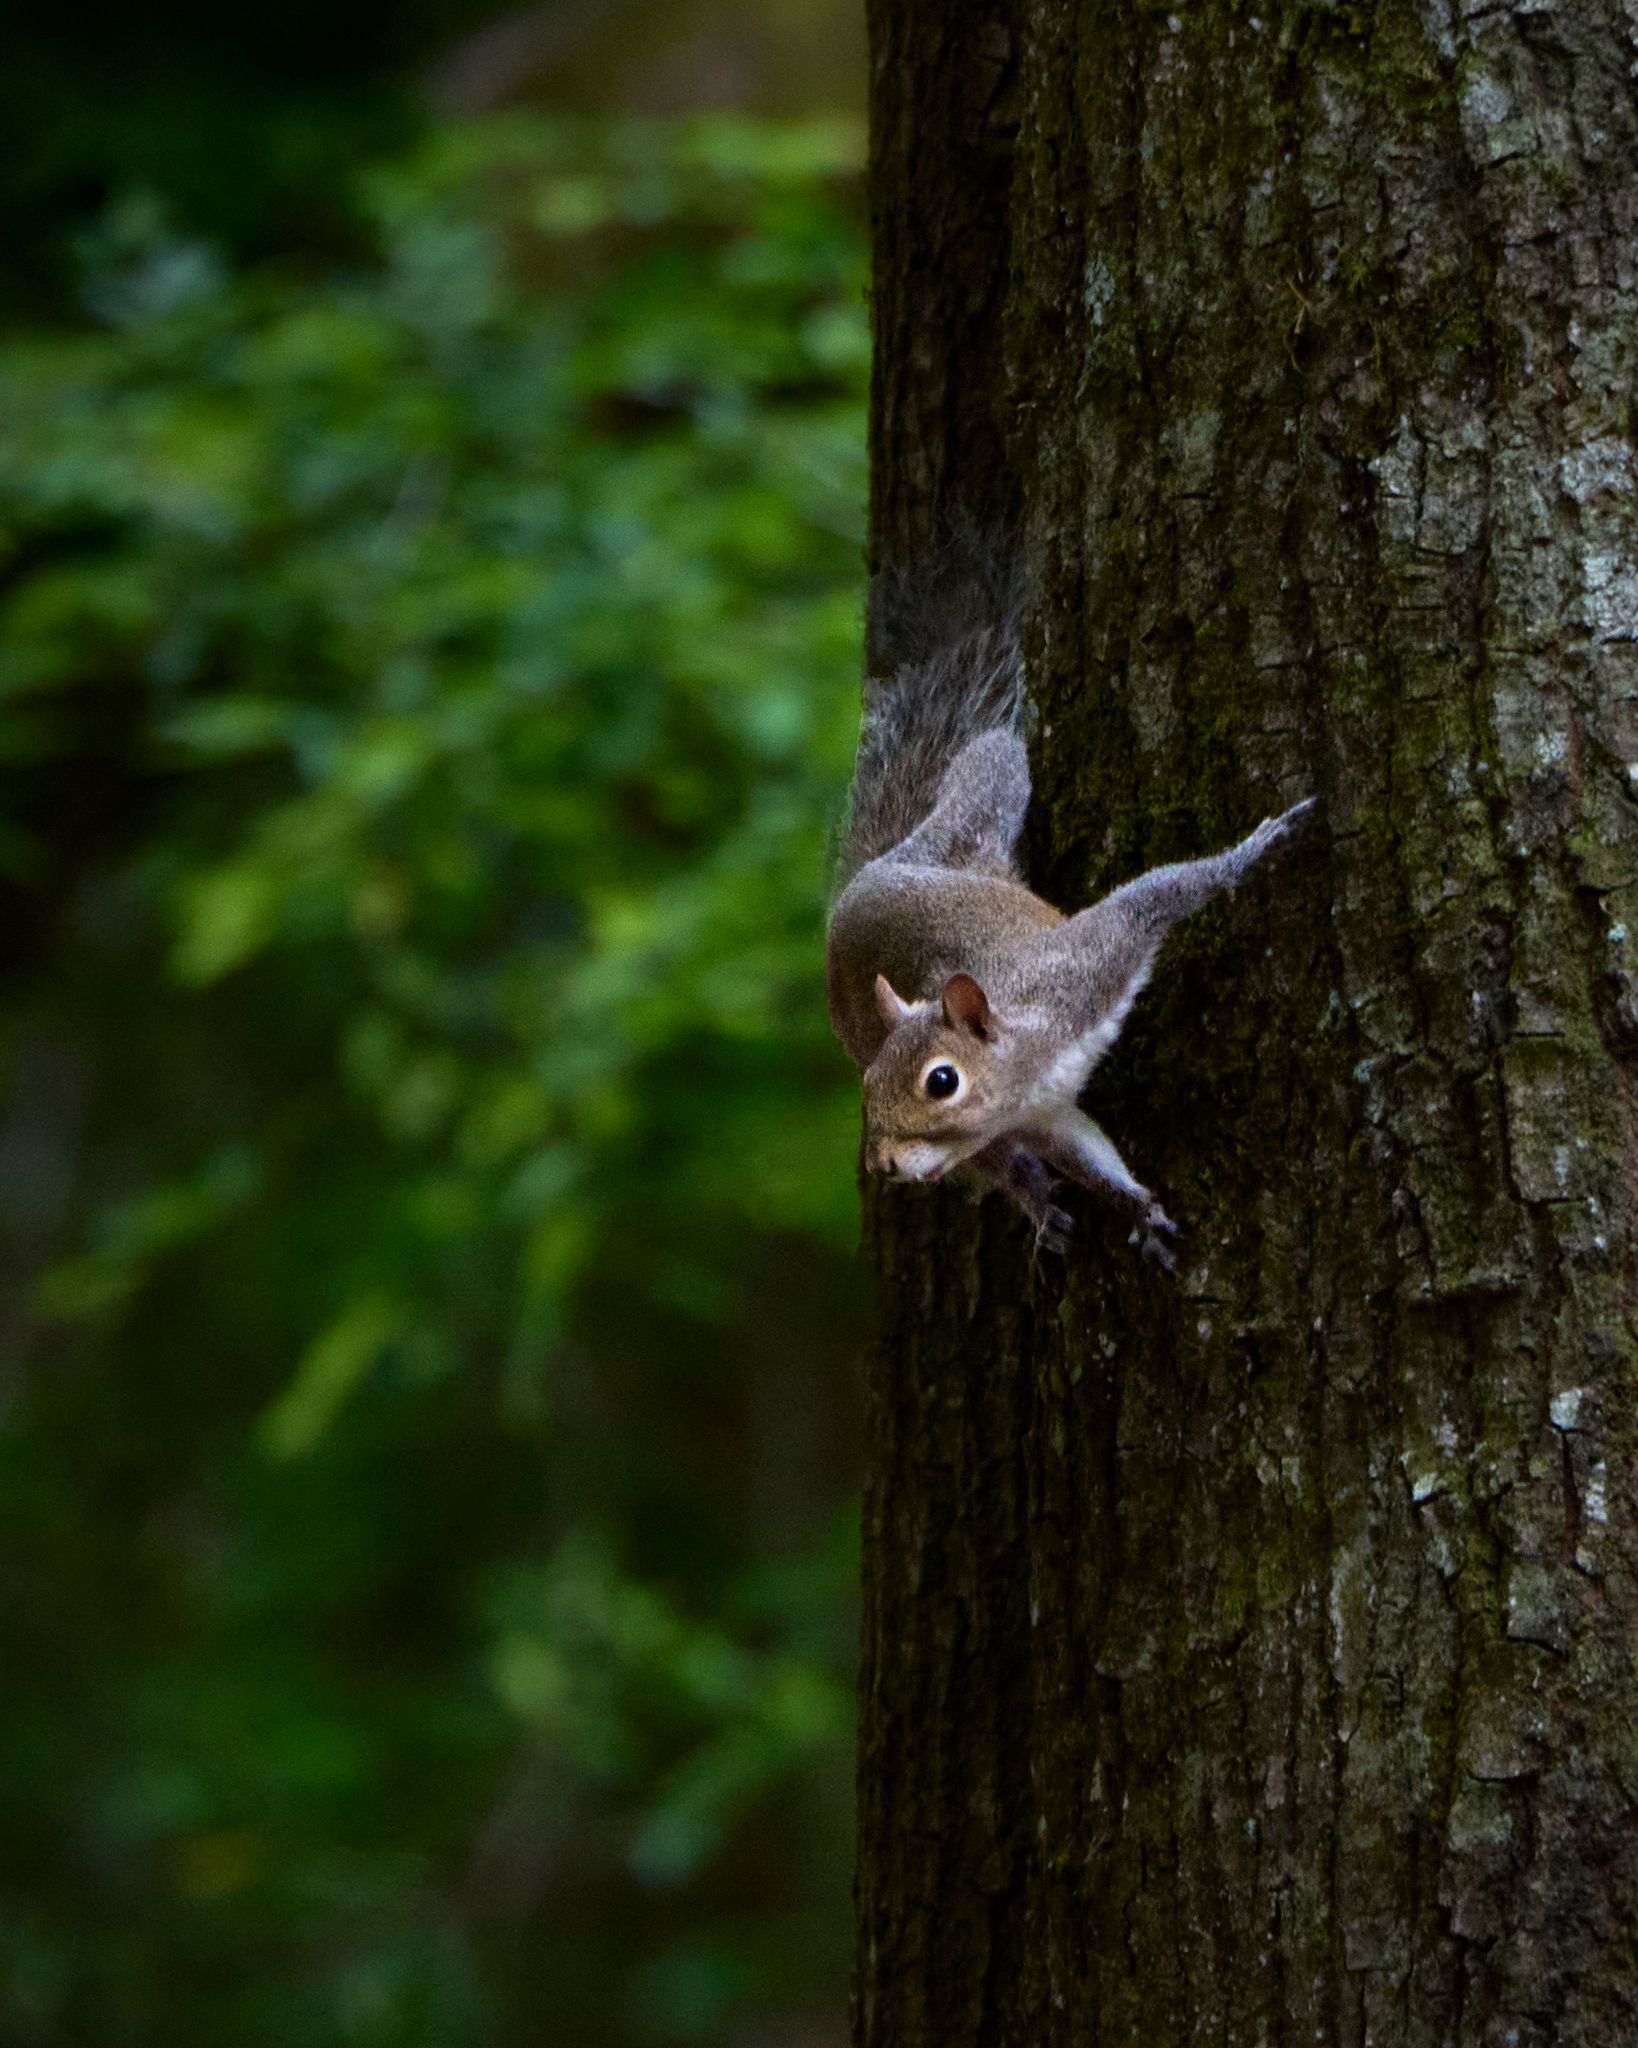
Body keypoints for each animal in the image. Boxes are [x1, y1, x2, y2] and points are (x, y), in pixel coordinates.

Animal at [826, 549, 1314, 1263]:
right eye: (867, 1086)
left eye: (941, 1081)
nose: (881, 1164)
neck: (1024, 1064)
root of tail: (865, 882)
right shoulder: (1042, 1116)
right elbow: (1082, 1158)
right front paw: (1130, 1205)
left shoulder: (1086, 966)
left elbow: (1153, 897)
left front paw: (1255, 848)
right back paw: (1029, 1193)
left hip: (976, 814)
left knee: (994, 758)